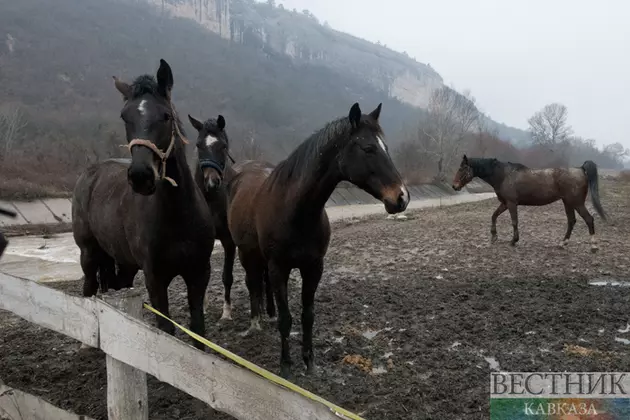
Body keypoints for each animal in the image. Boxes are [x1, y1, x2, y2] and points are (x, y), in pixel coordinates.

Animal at [72, 58, 215, 348]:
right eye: (125, 117)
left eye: (166, 116)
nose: (140, 176)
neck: (178, 217)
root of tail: (89, 174)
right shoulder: (155, 278)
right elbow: (165, 330)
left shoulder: (198, 273)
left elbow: (198, 332)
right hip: (89, 253)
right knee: (89, 287)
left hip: (123, 262)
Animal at [188, 113, 276, 320]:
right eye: (199, 145)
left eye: (223, 146)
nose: (212, 182)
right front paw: (203, 305)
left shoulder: (229, 241)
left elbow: (227, 277)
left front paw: (226, 311)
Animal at [230, 102, 412, 378]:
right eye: (368, 148)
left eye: (386, 148)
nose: (401, 197)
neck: (295, 211)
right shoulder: (279, 268)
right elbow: (286, 319)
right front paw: (285, 366)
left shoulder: (314, 267)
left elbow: (308, 315)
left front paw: (309, 361)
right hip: (246, 253)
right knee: (252, 284)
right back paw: (255, 322)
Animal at [452, 156, 608, 251]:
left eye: (462, 168)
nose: (454, 186)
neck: (503, 175)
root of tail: (580, 169)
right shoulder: (505, 203)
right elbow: (494, 216)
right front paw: (494, 236)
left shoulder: (511, 203)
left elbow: (514, 221)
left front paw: (514, 240)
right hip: (568, 203)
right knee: (571, 221)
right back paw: (562, 243)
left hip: (576, 203)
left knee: (589, 219)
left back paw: (593, 246)